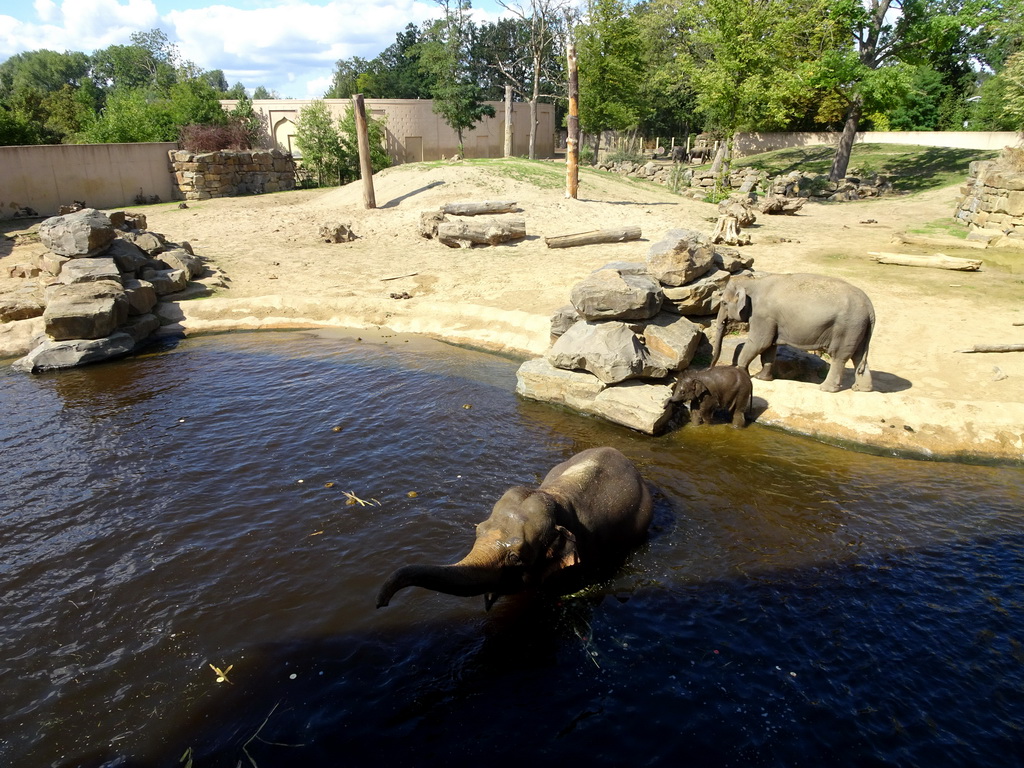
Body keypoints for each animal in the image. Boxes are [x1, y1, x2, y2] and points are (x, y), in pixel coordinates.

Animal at [712, 272, 872, 393]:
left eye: (723, 303)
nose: (710, 367)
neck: (753, 282)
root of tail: (870, 307)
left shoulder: (763, 316)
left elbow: (759, 343)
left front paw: (744, 374)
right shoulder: (771, 320)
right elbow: (769, 348)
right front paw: (761, 378)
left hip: (847, 327)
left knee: (839, 357)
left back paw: (826, 389)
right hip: (859, 329)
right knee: (858, 356)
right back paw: (861, 389)